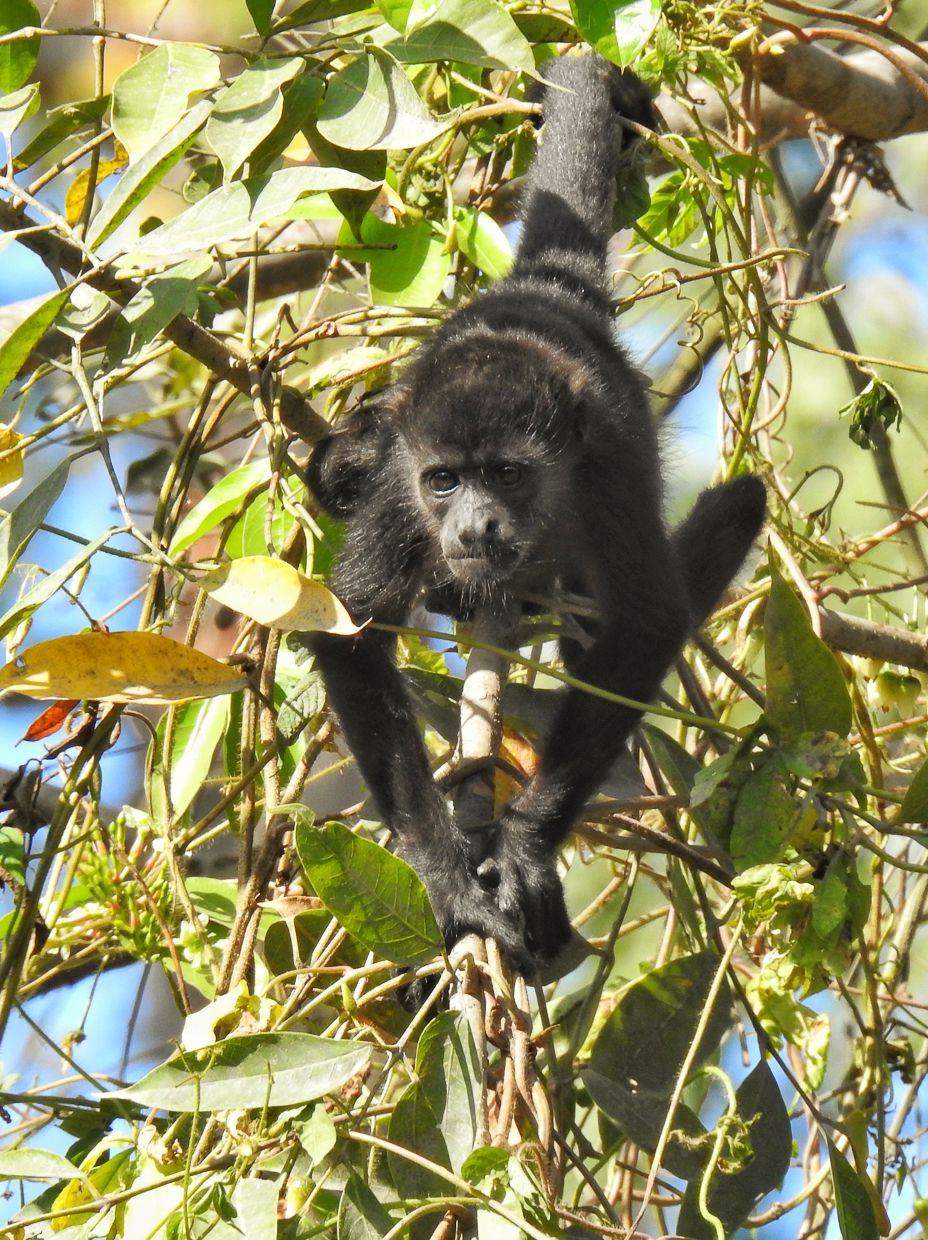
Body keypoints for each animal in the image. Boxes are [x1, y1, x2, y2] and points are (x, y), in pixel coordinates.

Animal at [306, 52, 767, 987]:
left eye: (510, 475)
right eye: (445, 481)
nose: (475, 529)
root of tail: (544, 293)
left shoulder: (607, 468)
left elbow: (647, 621)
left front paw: (520, 850)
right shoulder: (404, 484)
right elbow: (352, 627)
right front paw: (449, 876)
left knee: (738, 506)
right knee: (337, 471)